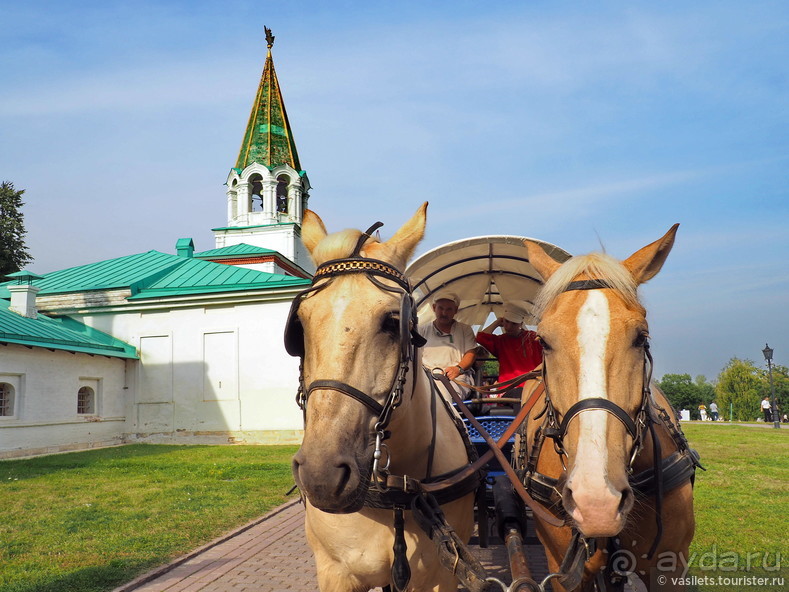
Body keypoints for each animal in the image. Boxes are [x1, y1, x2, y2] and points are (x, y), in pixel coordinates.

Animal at [290, 204, 474, 592]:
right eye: (299, 325)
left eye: (392, 322)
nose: (321, 475)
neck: (394, 496)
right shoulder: (334, 572)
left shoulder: (441, 578)